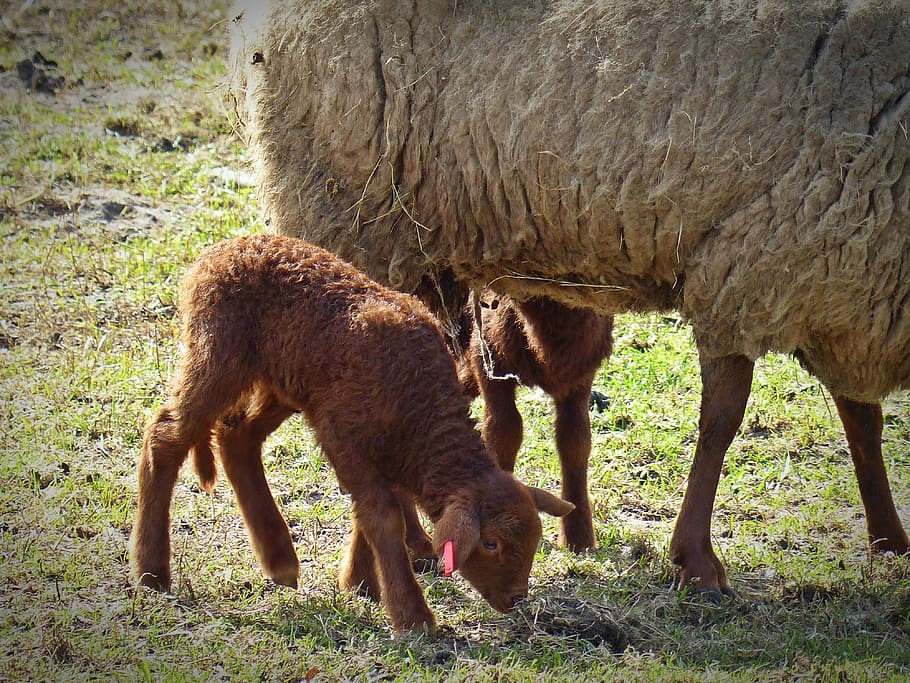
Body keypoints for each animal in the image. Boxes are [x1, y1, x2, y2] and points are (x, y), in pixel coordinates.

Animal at [129, 233, 574, 633]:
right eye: (491, 543)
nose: (516, 598)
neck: (420, 409)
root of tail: (221, 250)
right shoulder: (344, 435)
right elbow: (382, 516)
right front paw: (412, 616)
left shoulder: (379, 450)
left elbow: (370, 510)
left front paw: (361, 584)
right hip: (218, 355)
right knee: (165, 437)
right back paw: (152, 571)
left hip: (284, 384)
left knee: (238, 438)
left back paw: (279, 561)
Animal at [229, 0, 910, 593]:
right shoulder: (752, 262)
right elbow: (724, 418)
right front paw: (696, 558)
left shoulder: (839, 279)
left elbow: (860, 417)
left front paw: (888, 538)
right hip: (350, 217)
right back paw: (364, 572)